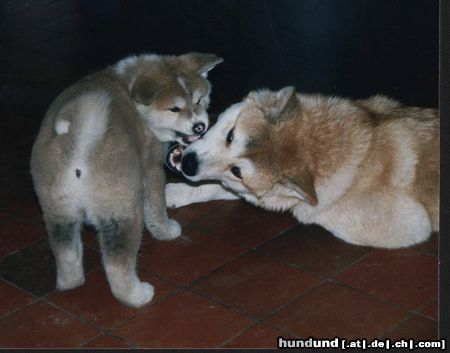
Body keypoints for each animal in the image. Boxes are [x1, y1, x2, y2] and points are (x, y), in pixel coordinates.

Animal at [29, 51, 223, 306]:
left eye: (199, 100)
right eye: (174, 109)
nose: (200, 127)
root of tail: (79, 148)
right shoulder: (151, 168)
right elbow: (156, 208)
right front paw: (166, 231)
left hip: (59, 212)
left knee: (66, 252)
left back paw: (71, 282)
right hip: (123, 212)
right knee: (117, 264)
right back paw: (138, 295)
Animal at [167, 87, 438, 248]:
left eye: (238, 172)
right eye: (231, 135)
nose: (189, 165)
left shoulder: (411, 224)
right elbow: (216, 187)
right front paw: (175, 193)